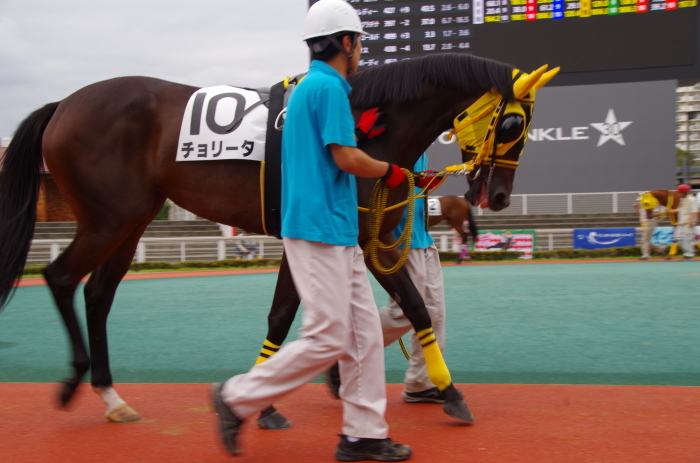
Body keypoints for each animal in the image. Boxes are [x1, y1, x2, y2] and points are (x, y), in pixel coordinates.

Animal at [1, 52, 556, 426]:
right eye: (514, 122)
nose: (498, 196)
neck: (366, 125)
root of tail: (64, 104)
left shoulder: (339, 240)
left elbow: (335, 311)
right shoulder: (341, 236)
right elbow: (328, 313)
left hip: (132, 218)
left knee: (98, 293)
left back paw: (111, 395)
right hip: (108, 218)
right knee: (61, 275)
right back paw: (74, 381)